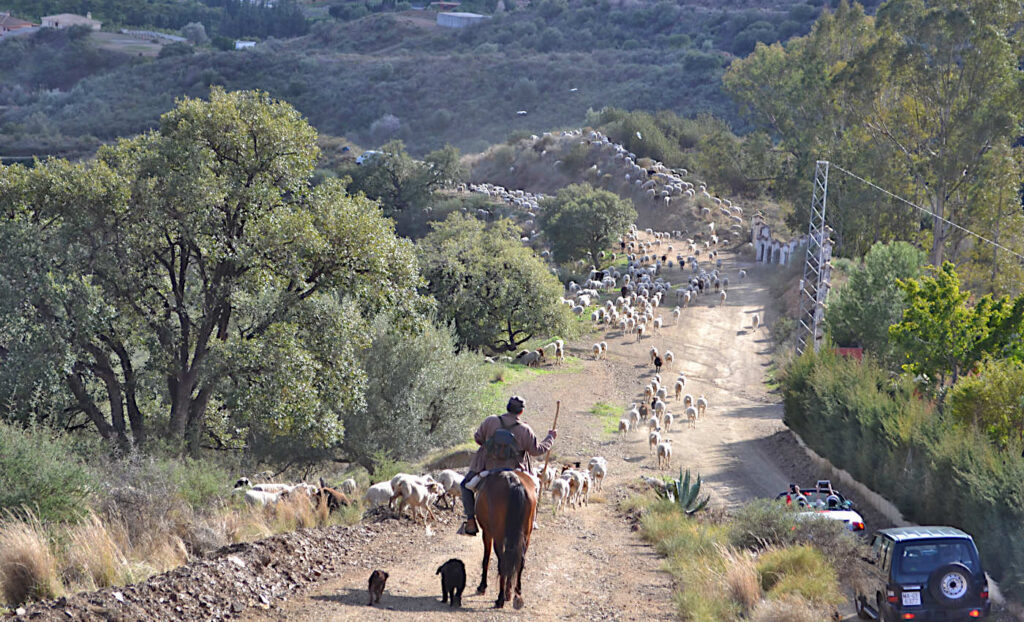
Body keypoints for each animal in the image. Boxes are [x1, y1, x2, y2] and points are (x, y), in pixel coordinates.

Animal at [473, 471, 536, 606]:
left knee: (502, 562)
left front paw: (482, 586)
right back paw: (516, 592)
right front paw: (509, 591)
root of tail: (514, 480)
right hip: (526, 536)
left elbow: (486, 559)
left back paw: (500, 598)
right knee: (520, 561)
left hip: (498, 536)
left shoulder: (487, 533)